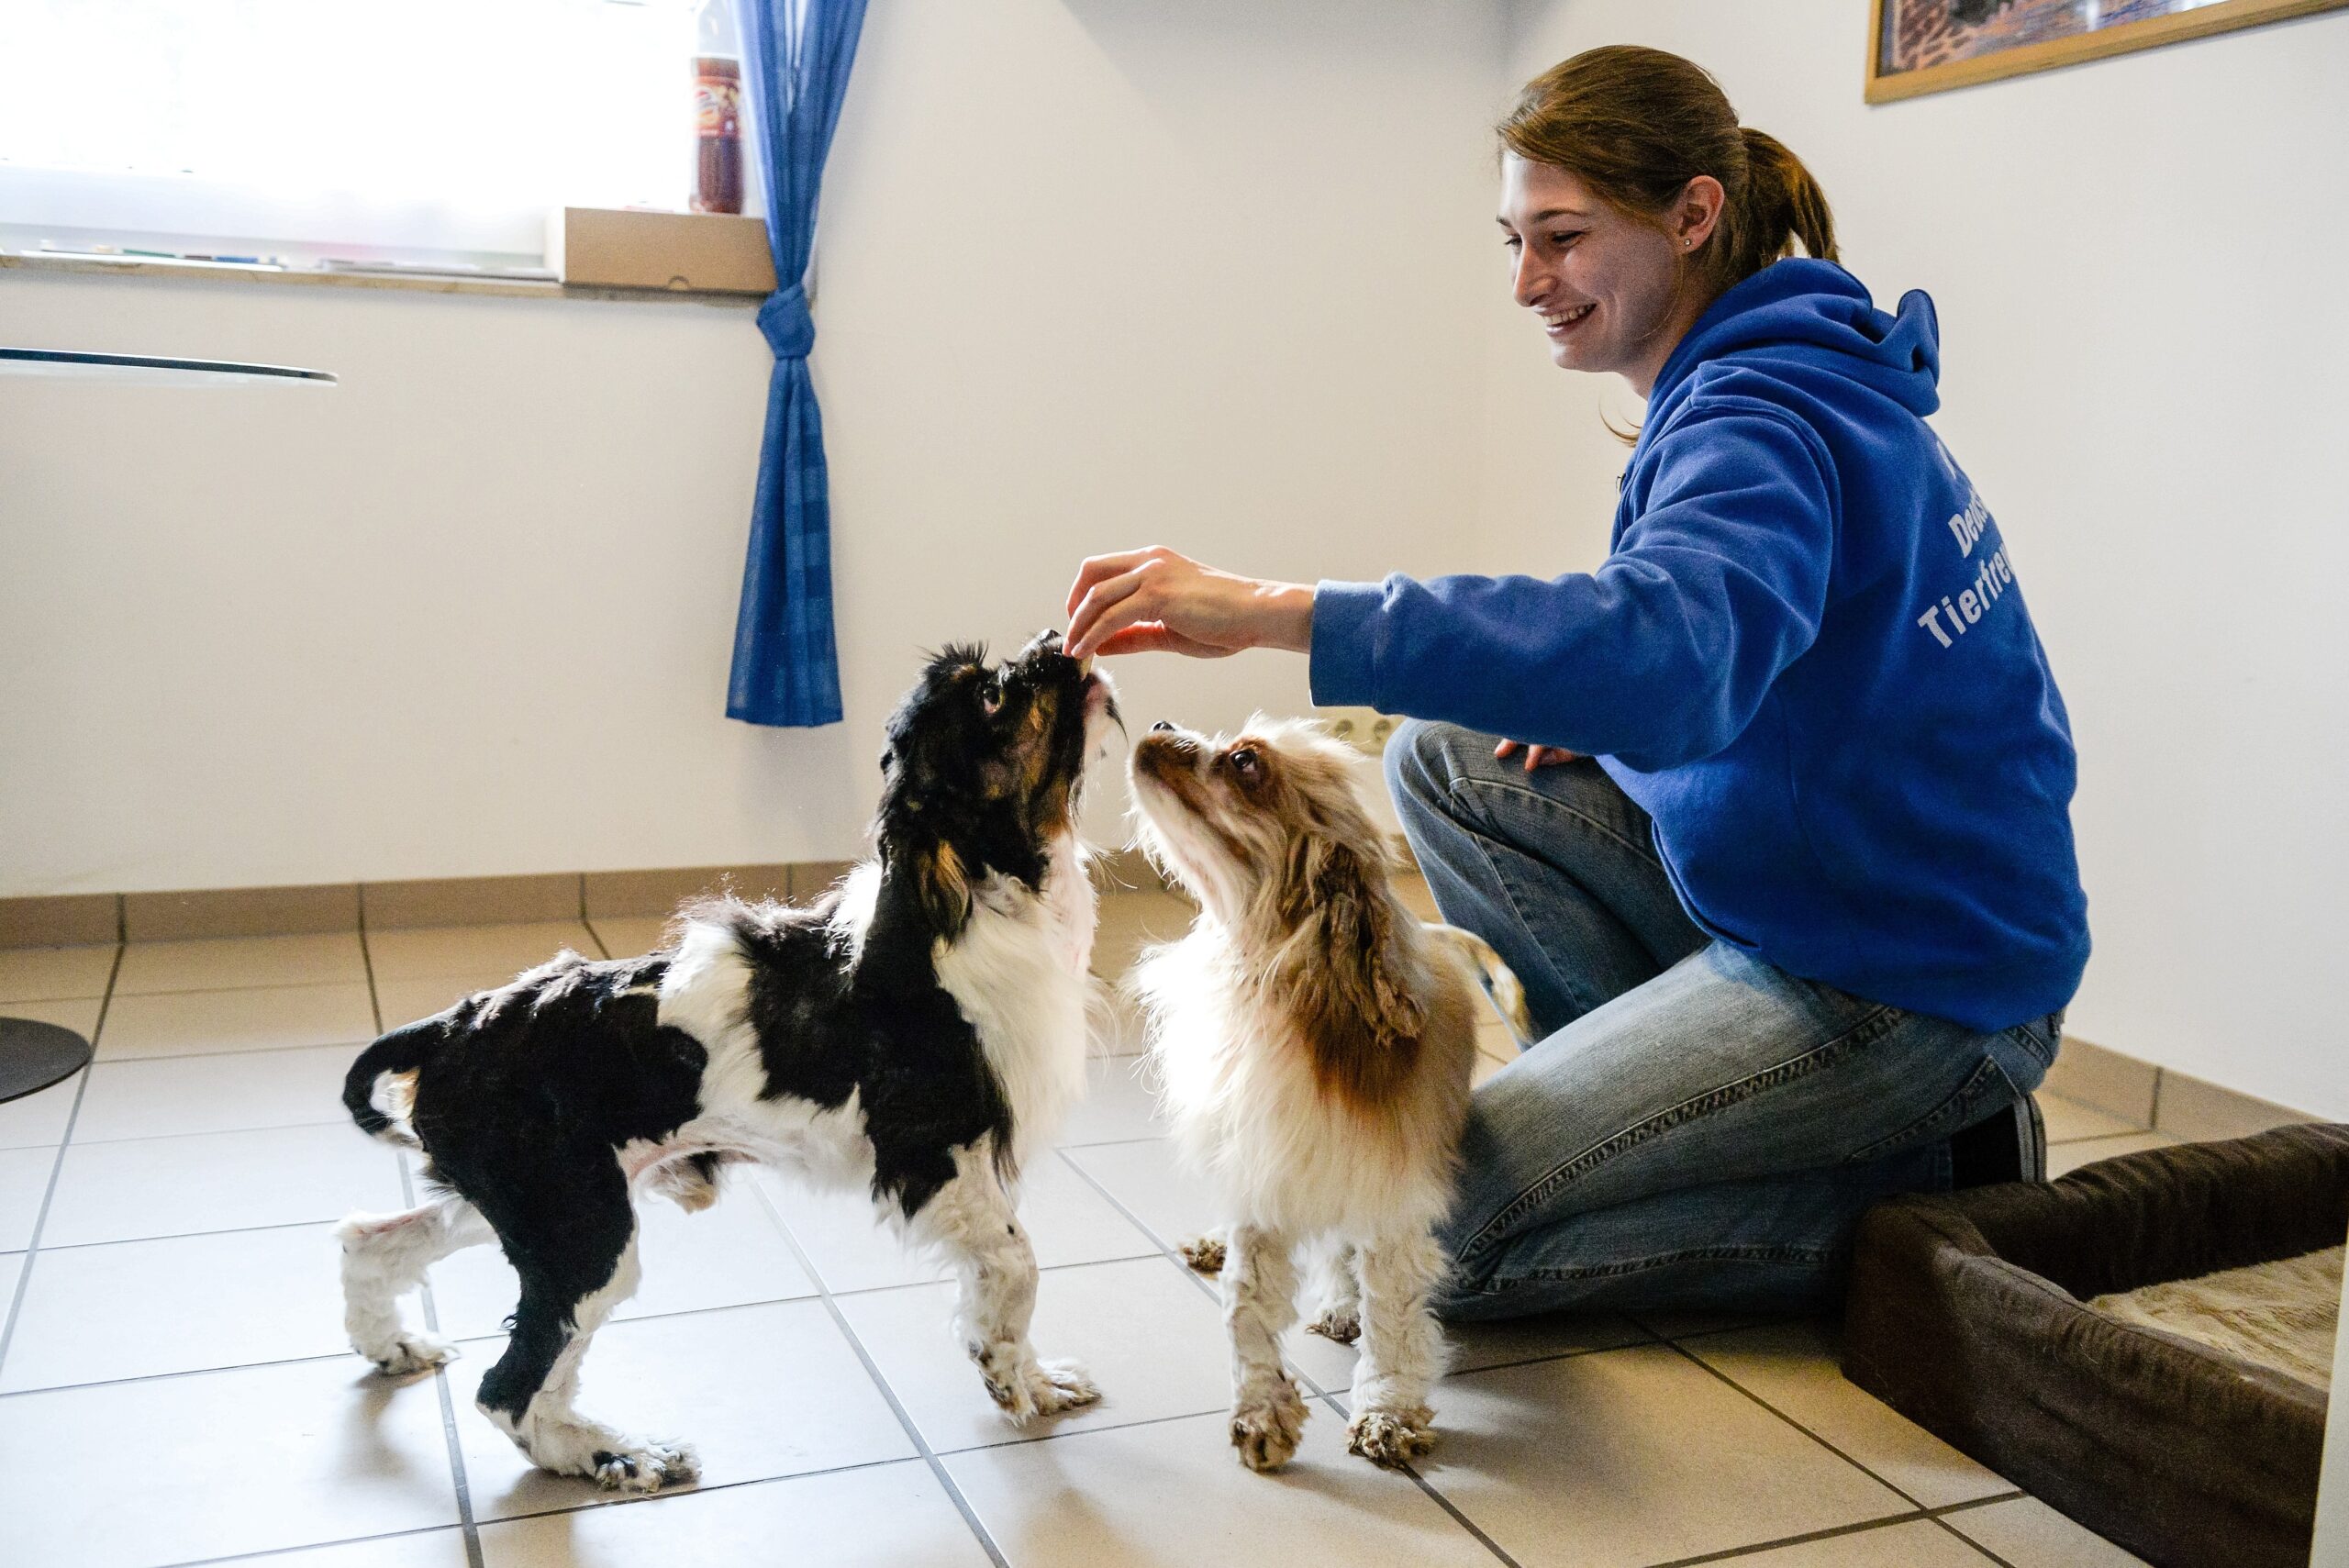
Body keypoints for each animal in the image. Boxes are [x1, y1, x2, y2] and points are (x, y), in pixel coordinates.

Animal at [336, 633, 1122, 1493]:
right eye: (990, 696)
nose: (1055, 640)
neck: (969, 901)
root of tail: (455, 1022)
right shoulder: (937, 1153)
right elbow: (1015, 1264)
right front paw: (1011, 1380)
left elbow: (1001, 1278)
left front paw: (1038, 1380)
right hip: (584, 1229)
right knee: (508, 1388)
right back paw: (615, 1453)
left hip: (522, 1199)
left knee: (368, 1238)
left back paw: (392, 1345)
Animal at [1127, 717, 1531, 1473]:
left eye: (1245, 762)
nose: (1161, 725)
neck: (1275, 984)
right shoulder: (1261, 1164)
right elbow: (1246, 1309)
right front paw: (1260, 1410)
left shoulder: (1388, 1191)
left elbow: (1392, 1318)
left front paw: (1386, 1412)